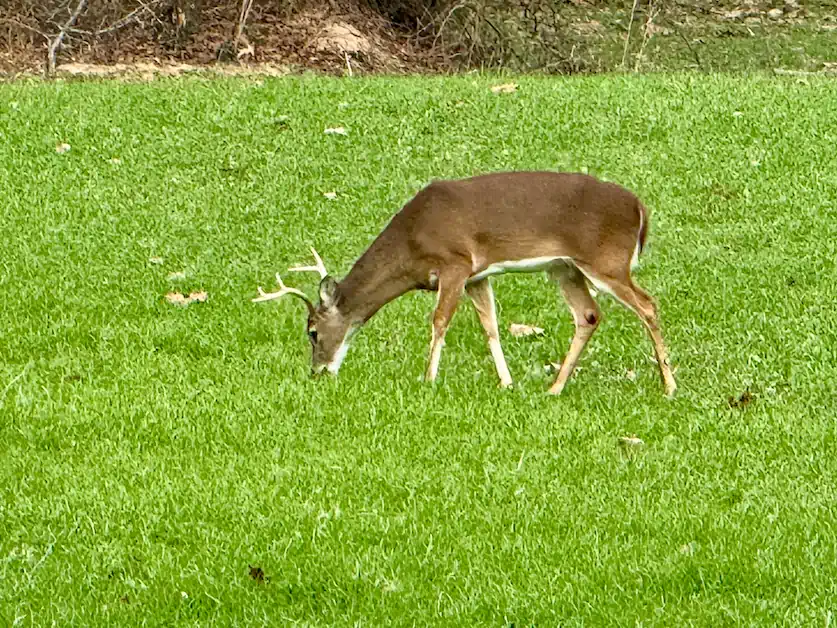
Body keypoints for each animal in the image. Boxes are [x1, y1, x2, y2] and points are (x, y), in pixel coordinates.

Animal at [253, 171, 677, 397]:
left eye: (312, 331)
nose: (317, 371)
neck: (410, 247)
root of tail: (639, 208)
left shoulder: (454, 262)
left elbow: (440, 321)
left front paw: (428, 379)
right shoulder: (479, 275)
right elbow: (490, 326)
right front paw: (506, 382)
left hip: (606, 261)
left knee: (648, 305)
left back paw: (669, 385)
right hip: (564, 267)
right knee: (588, 315)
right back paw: (555, 387)